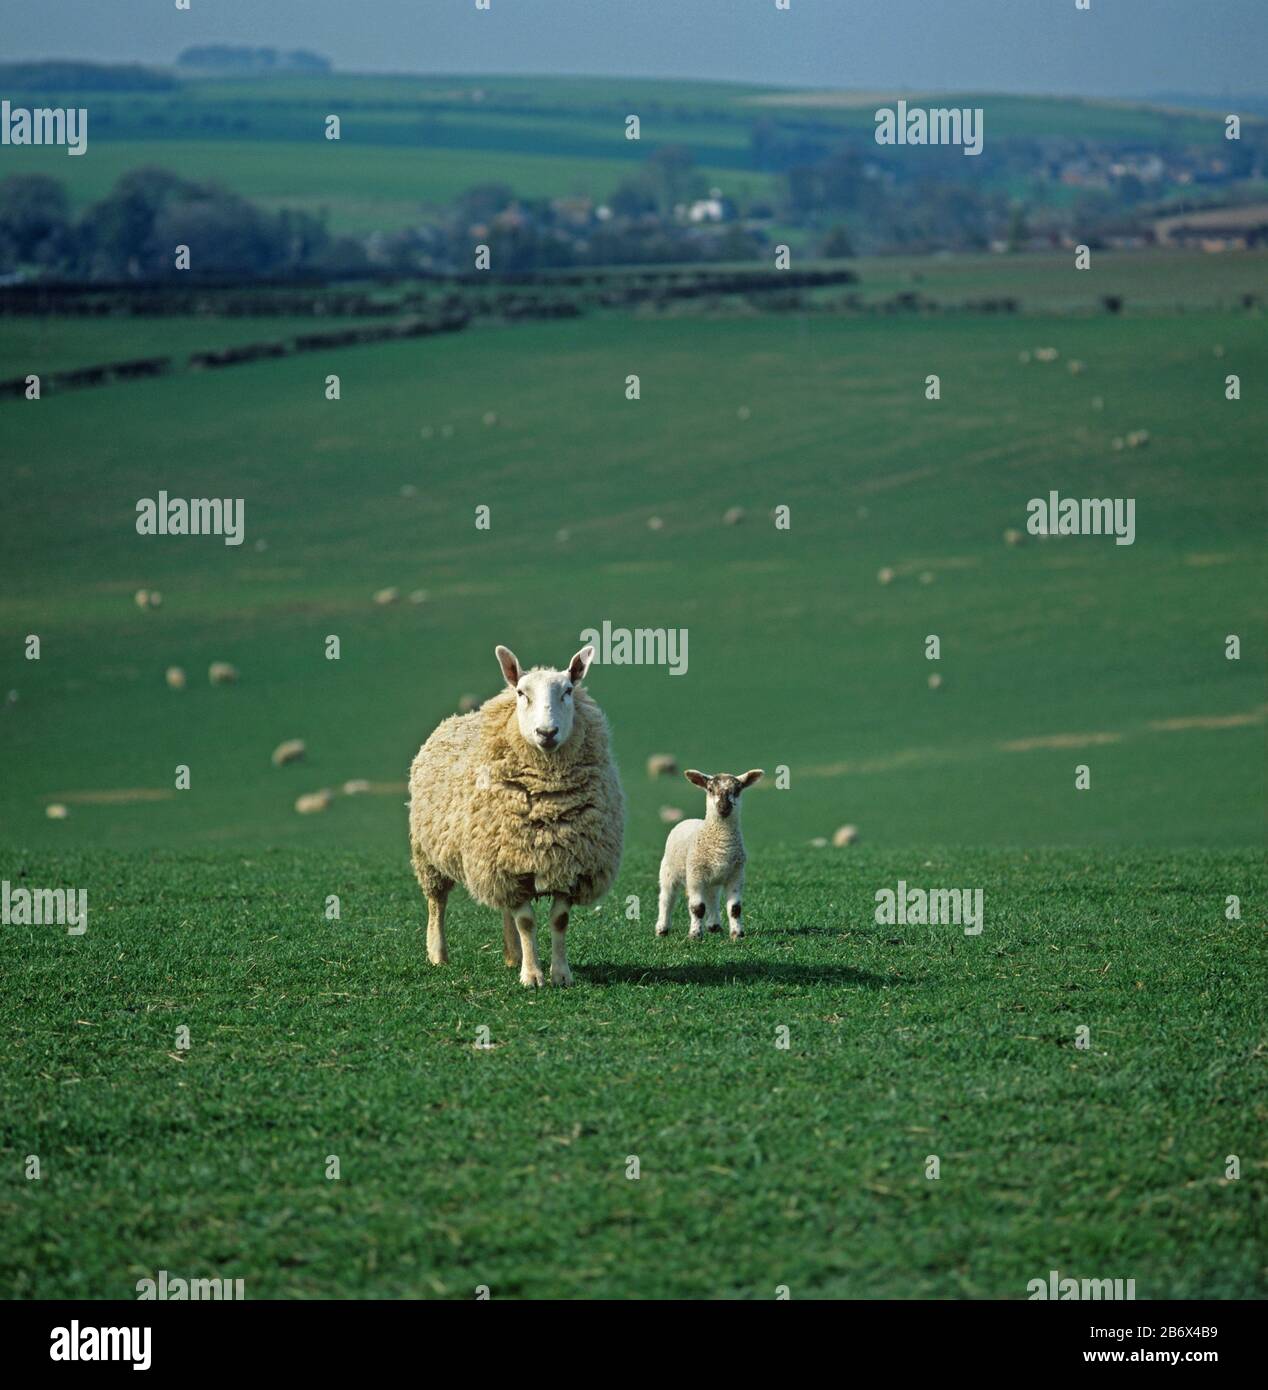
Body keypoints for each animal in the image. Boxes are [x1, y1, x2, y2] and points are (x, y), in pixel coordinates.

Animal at [405, 642, 622, 989]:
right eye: (522, 692)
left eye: (568, 690)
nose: (547, 732)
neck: (548, 803)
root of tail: (456, 718)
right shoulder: (511, 866)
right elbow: (527, 922)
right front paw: (532, 977)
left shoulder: (567, 864)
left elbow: (558, 921)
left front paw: (560, 974)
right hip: (430, 854)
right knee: (437, 902)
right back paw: (438, 955)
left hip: (503, 855)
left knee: (504, 909)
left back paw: (512, 955)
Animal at [653, 767, 761, 939]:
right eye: (710, 789)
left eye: (737, 790)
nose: (724, 807)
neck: (721, 845)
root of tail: (689, 819)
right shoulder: (695, 875)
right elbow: (697, 908)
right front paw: (695, 935)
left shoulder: (736, 875)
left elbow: (735, 908)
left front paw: (737, 934)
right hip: (668, 871)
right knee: (666, 898)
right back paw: (662, 928)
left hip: (712, 879)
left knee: (712, 898)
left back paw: (714, 926)